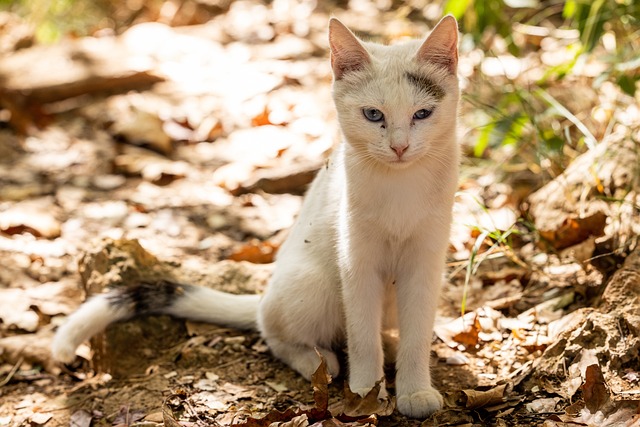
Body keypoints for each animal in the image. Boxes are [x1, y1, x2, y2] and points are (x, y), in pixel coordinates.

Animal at [52, 15, 458, 418]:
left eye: (422, 114)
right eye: (374, 114)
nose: (400, 147)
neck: (400, 184)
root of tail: (265, 295)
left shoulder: (426, 262)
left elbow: (417, 334)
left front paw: (414, 391)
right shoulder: (356, 261)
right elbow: (361, 336)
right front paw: (365, 393)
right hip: (313, 284)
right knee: (277, 333)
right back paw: (318, 361)